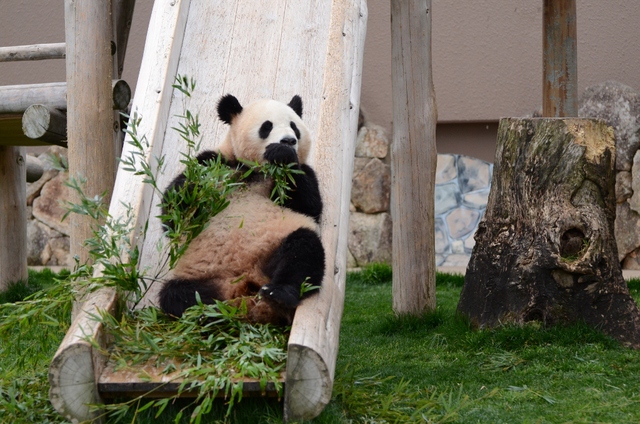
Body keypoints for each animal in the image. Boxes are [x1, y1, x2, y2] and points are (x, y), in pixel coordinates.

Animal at [156, 93, 324, 324]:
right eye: (267, 126)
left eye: (294, 127)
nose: (289, 141)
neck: (255, 170)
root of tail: (246, 286)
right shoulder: (218, 162)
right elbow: (174, 213)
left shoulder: (302, 175)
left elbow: (310, 206)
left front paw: (284, 155)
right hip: (203, 274)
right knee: (177, 295)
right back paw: (213, 311)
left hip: (277, 243)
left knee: (302, 252)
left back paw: (278, 295)